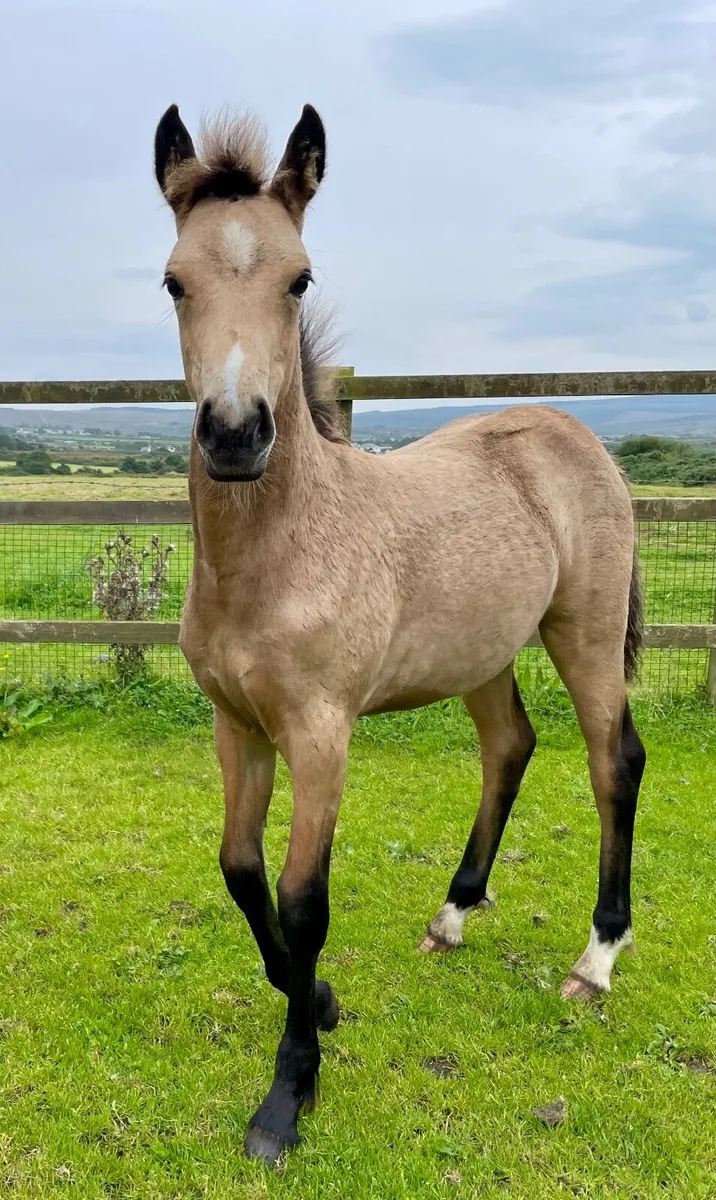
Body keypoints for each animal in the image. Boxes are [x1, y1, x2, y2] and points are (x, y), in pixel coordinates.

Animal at [154, 101, 646, 1166]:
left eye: (299, 278)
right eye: (175, 280)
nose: (236, 436)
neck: (281, 555)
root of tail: (576, 432)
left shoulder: (321, 735)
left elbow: (303, 901)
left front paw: (287, 1096)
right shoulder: (237, 726)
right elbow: (241, 873)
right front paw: (321, 1003)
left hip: (582, 634)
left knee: (612, 761)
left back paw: (596, 958)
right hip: (484, 653)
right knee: (511, 746)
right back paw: (454, 913)